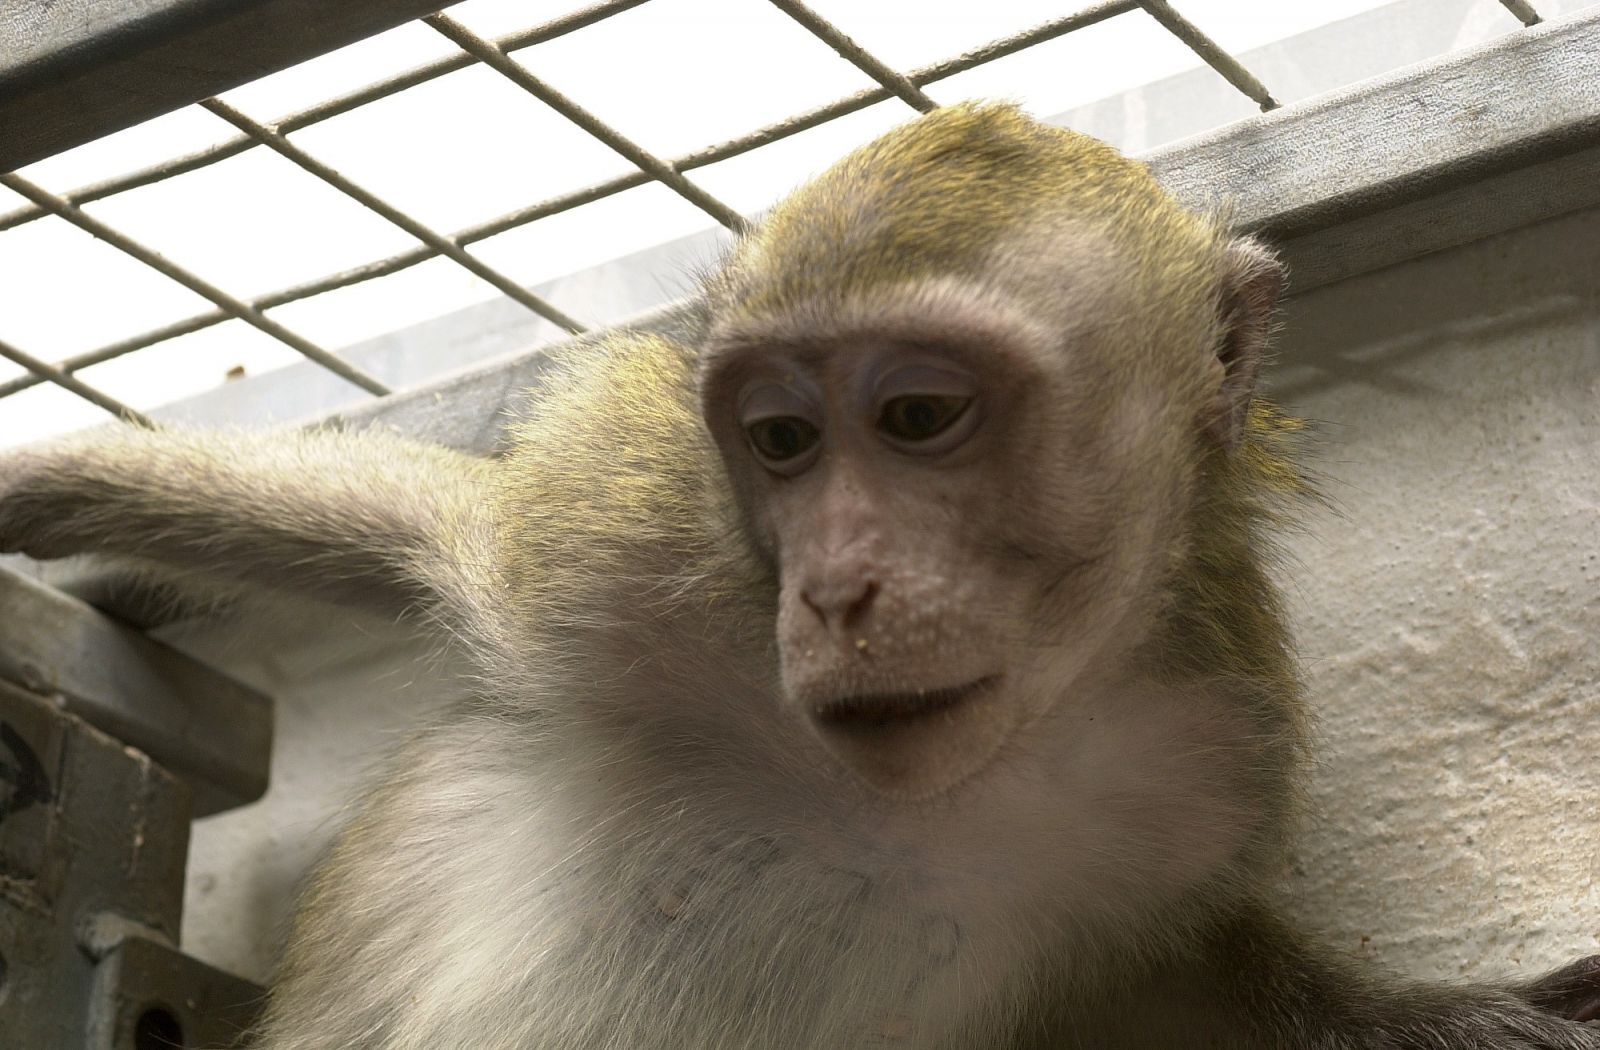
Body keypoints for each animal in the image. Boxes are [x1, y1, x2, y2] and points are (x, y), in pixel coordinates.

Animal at [3, 100, 1600, 1050]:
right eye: (778, 438)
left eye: (920, 415)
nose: (833, 592)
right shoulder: (628, 537)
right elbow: (431, 526)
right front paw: (42, 493)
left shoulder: (1204, 754)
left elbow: (1195, 982)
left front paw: (1463, 1013)